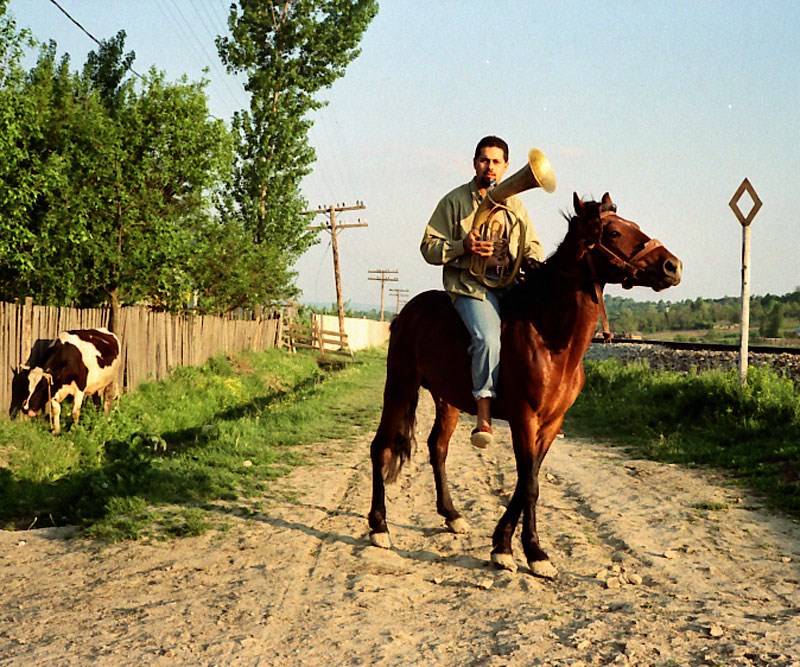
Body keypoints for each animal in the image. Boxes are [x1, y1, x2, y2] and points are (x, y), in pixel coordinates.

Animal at [368, 193, 680, 580]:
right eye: (612, 232)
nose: (672, 266)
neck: (550, 337)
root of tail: (405, 314)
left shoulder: (549, 425)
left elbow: (526, 481)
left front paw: (503, 545)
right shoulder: (523, 418)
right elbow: (528, 485)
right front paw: (531, 553)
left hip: (447, 400)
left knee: (437, 448)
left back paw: (452, 515)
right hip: (400, 386)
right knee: (380, 447)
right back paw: (379, 528)